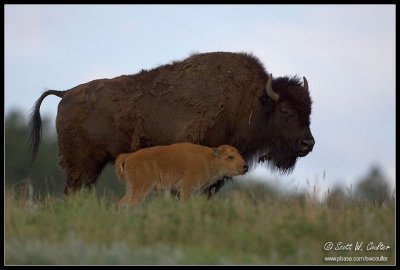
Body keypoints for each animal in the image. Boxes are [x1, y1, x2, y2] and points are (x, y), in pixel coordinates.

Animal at [28, 51, 316, 195]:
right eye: (286, 111)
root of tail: (66, 93)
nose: (308, 143)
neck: (252, 101)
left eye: (309, 109)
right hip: (81, 163)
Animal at [114, 142, 248, 206]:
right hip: (142, 187)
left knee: (122, 202)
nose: (245, 166)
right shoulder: (187, 187)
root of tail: (129, 156)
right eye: (230, 157)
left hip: (132, 187)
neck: (209, 159)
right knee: (130, 203)